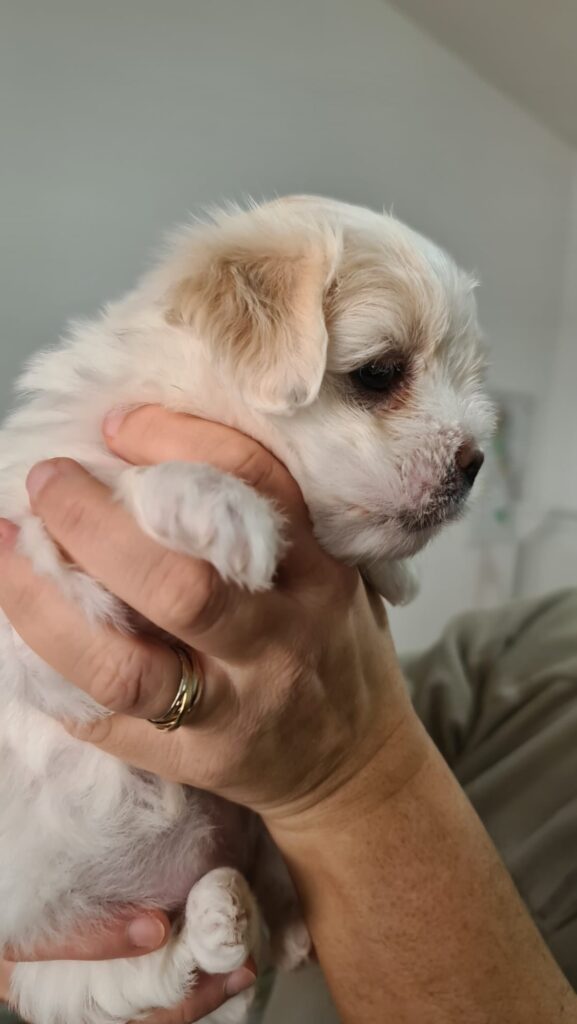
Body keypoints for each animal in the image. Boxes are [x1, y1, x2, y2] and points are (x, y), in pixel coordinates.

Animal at [0, 193, 496, 1024]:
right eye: (380, 373)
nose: (474, 463)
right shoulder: (40, 586)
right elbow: (120, 482)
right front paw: (225, 507)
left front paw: (392, 574)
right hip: (56, 943)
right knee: (141, 976)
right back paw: (219, 917)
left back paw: (248, 916)